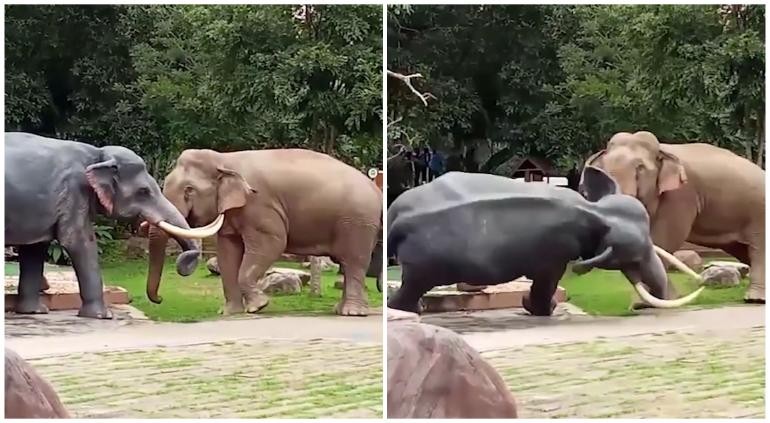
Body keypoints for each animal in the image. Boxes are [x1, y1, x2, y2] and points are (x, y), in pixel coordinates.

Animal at [5, 132, 203, 319]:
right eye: (143, 192)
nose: (160, 299)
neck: (98, 154)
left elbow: (35, 249)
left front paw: (35, 311)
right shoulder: (74, 192)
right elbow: (79, 242)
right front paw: (104, 316)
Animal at [144, 148, 382, 316]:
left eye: (189, 190)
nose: (160, 299)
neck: (225, 159)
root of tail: (375, 188)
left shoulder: (259, 205)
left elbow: (272, 244)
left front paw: (258, 307)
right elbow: (227, 254)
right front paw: (229, 313)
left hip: (358, 222)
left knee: (353, 262)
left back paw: (351, 312)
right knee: (349, 265)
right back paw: (343, 310)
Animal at [387, 167, 704, 316]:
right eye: (632, 260)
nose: (637, 307)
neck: (595, 211)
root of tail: (399, 219)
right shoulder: (556, 253)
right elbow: (546, 280)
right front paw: (540, 309)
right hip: (426, 263)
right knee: (412, 286)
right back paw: (407, 310)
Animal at [583, 131, 765, 304]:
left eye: (640, 168)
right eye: (601, 170)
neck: (663, 150)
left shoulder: (681, 195)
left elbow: (666, 239)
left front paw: (645, 304)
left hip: (759, 210)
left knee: (758, 248)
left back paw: (755, 299)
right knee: (743, 250)